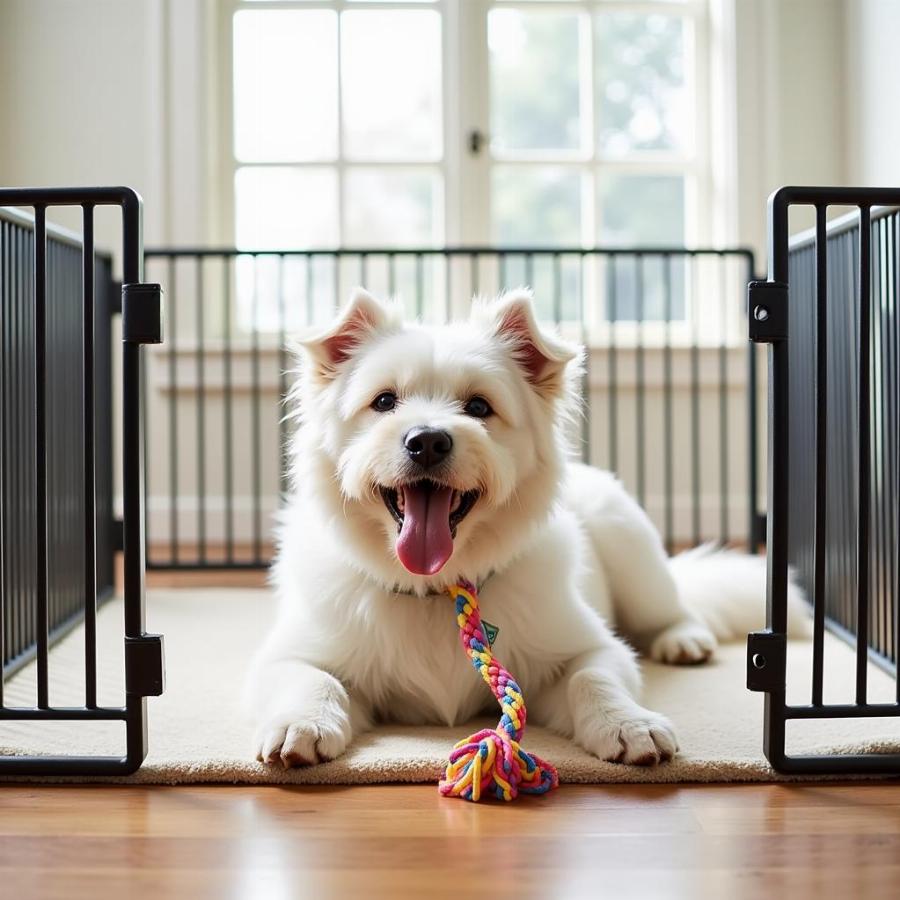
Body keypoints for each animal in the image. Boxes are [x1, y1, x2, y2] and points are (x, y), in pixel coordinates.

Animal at [246, 286, 788, 768]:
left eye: (479, 407)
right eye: (383, 402)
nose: (428, 441)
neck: (435, 589)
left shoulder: (588, 646)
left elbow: (593, 678)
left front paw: (630, 726)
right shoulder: (289, 655)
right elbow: (314, 679)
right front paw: (302, 725)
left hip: (631, 546)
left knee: (675, 607)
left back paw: (682, 641)